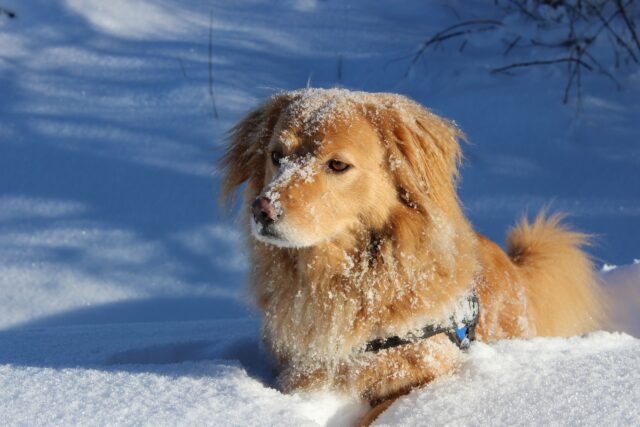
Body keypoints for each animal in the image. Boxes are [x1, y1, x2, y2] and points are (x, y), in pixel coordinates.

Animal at [220, 88, 604, 426]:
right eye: (276, 156)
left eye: (338, 164)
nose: (263, 209)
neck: (346, 282)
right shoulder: (303, 373)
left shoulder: (428, 369)